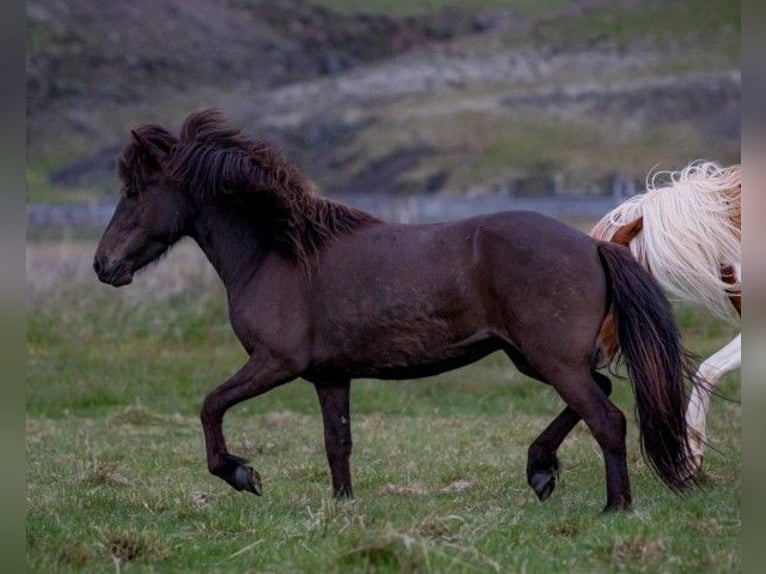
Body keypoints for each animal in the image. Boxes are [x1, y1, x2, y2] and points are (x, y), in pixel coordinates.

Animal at [93, 109, 698, 512]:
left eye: (136, 190)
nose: (104, 265)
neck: (278, 252)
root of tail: (594, 246)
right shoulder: (329, 376)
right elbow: (337, 444)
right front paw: (343, 507)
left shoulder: (275, 363)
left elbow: (210, 406)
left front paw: (241, 474)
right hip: (535, 358)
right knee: (602, 394)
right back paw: (540, 470)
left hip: (550, 360)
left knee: (608, 418)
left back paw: (612, 506)